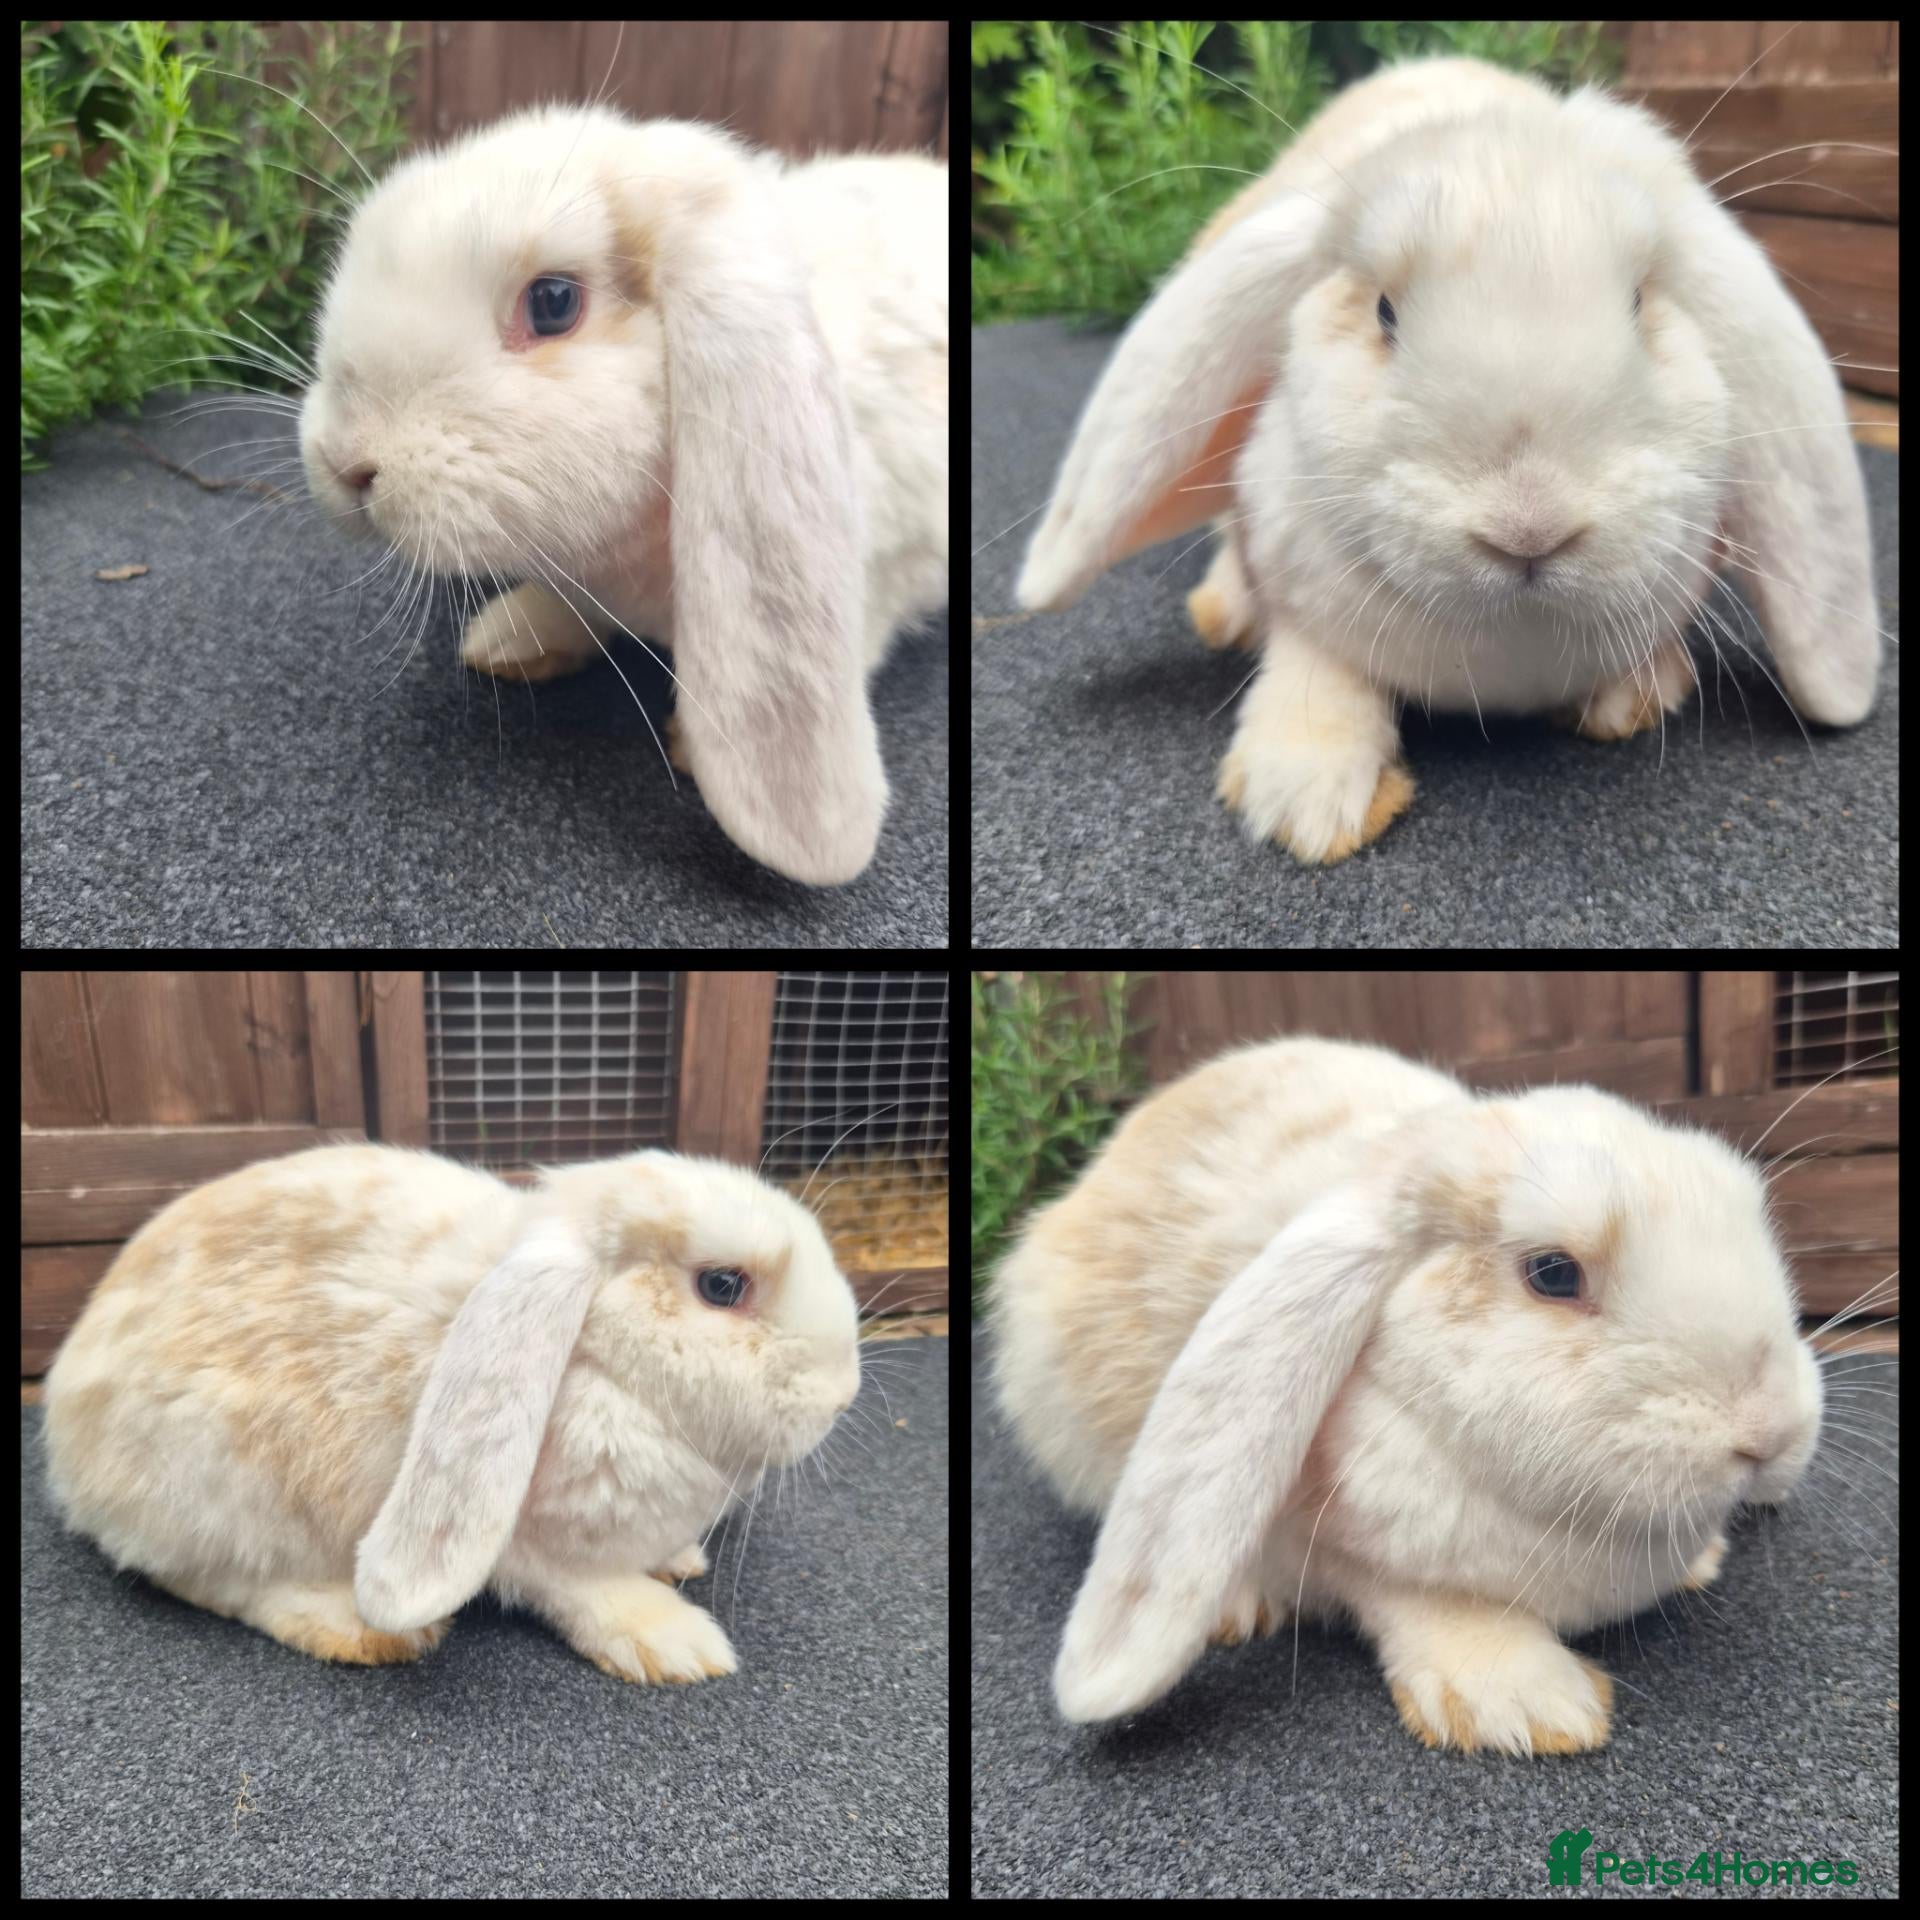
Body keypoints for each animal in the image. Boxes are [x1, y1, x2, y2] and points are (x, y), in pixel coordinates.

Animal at [43, 1143, 861, 1681]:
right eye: (722, 1285)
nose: (844, 1393)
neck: (600, 1367)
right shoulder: (536, 1545)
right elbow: (586, 1591)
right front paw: (674, 1641)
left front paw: (681, 1561)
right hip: (221, 1488)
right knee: (214, 1582)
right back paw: (359, 1629)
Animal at [992, 1036, 1822, 1753]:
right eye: (1554, 1273)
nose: (1771, 1429)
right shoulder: (1344, 1553)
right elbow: (1419, 1603)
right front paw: (1525, 1704)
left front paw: (1700, 1562)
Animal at [1015, 57, 1879, 864]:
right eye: (1383, 313)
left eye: (1640, 304)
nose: (1529, 528)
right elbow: (1313, 664)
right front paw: (1306, 795)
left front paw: (1634, 696)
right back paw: (1223, 615)